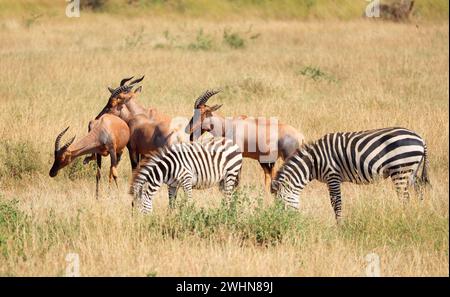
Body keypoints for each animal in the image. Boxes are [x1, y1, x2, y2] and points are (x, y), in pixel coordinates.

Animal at [270, 126, 428, 221]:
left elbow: (336, 203)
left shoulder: (332, 176)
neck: (313, 162)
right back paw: (418, 215)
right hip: (411, 172)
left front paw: (339, 226)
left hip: (400, 170)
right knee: (419, 193)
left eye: (280, 203)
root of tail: (420, 138)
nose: (283, 222)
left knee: (404, 198)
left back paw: (404, 217)